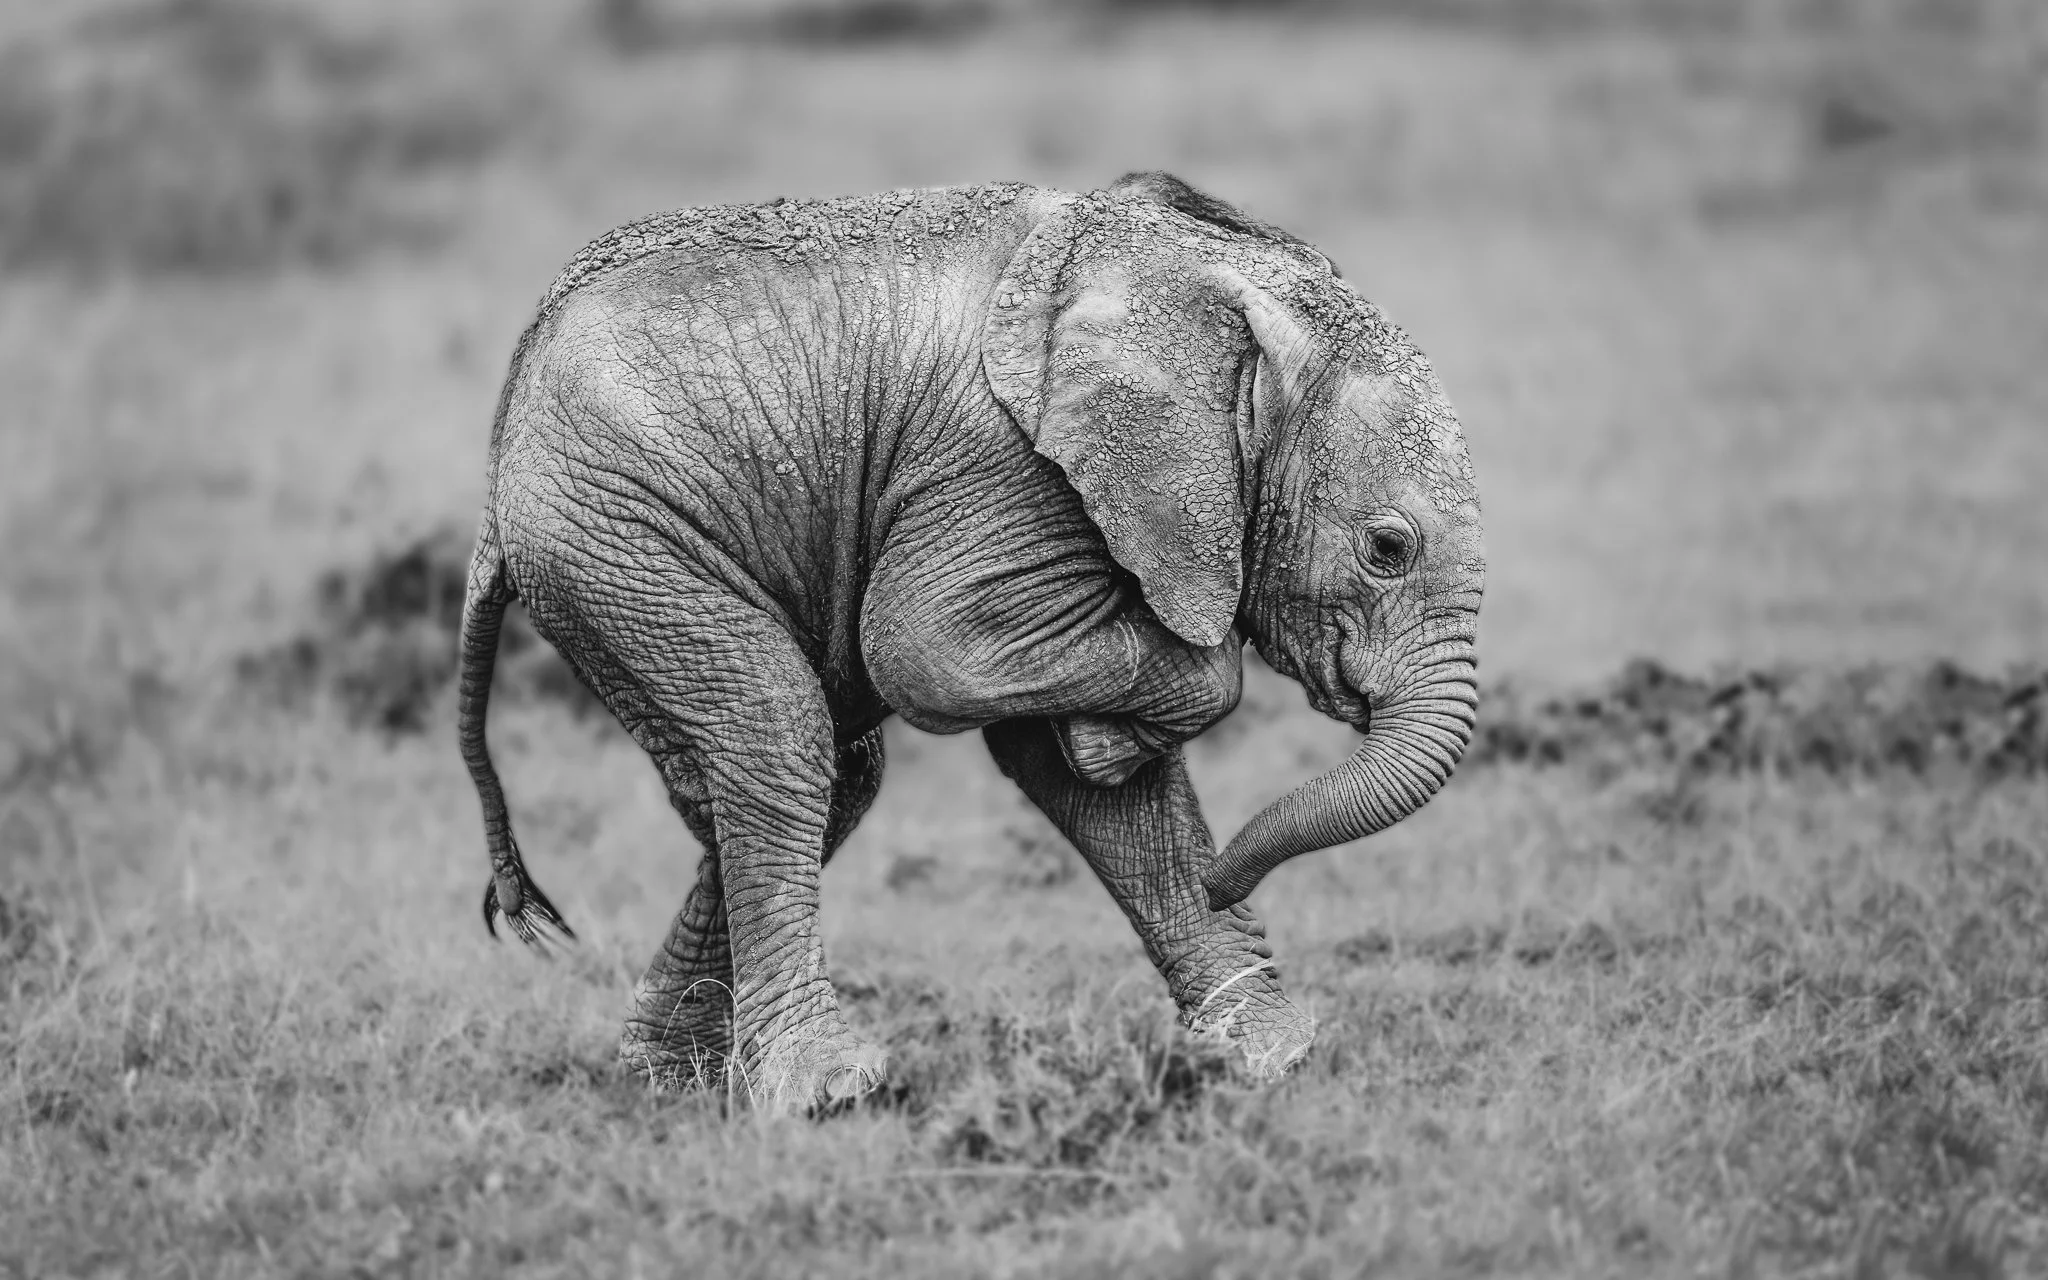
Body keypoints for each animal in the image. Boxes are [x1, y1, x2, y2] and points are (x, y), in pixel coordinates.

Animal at [457, 172, 1483, 1111]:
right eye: (1388, 549)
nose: (1225, 879)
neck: (1207, 285)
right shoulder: (1007, 471)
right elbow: (927, 649)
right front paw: (1122, 737)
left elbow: (1101, 798)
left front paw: (1275, 1058)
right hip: (617, 532)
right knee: (777, 736)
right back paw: (829, 1092)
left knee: (822, 776)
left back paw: (670, 1080)